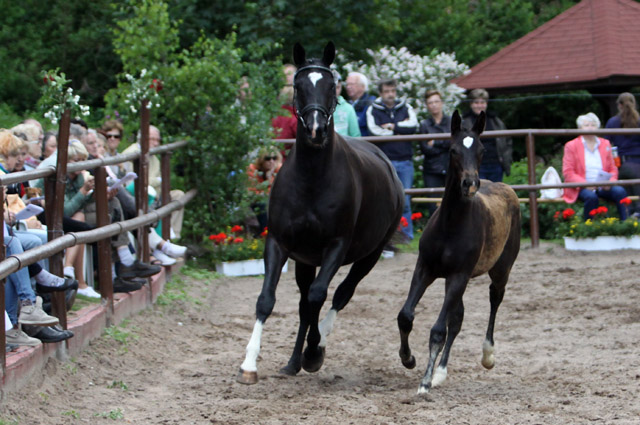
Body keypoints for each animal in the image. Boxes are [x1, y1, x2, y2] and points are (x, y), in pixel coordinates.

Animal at [398, 110, 524, 394]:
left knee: (494, 300)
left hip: (500, 270)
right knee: (457, 318)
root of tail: (506, 188)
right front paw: (408, 359)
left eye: (482, 150)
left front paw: (424, 383)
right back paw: (441, 372)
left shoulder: (458, 276)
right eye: (453, 150)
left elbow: (438, 330)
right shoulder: (425, 269)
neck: (451, 225)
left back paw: (487, 355)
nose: (470, 184)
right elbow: (406, 316)